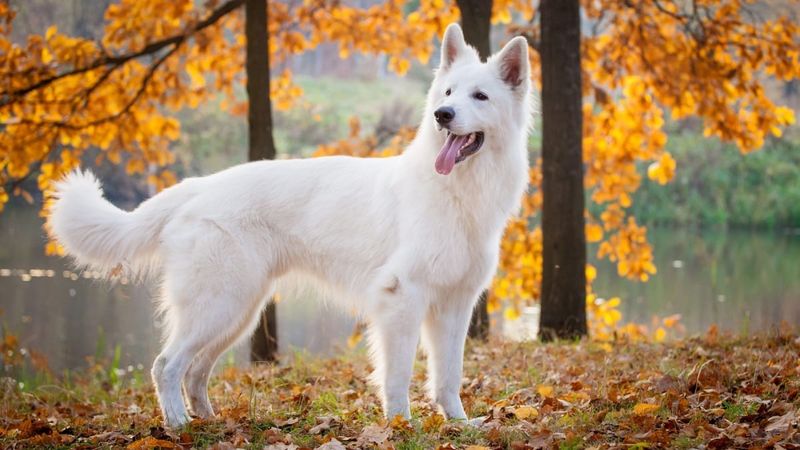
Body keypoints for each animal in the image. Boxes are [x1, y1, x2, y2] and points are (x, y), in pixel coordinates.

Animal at [53, 23, 536, 426]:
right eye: (448, 92)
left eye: (479, 97)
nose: (443, 115)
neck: (456, 192)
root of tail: (197, 185)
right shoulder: (402, 299)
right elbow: (398, 375)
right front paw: (401, 425)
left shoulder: (454, 306)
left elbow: (449, 376)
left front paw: (459, 424)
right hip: (219, 305)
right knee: (165, 366)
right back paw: (178, 424)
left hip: (238, 313)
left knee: (194, 371)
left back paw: (208, 420)